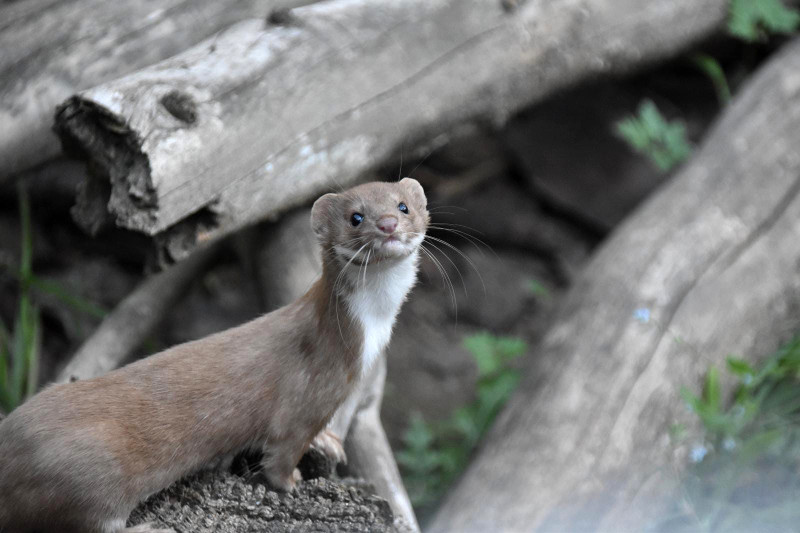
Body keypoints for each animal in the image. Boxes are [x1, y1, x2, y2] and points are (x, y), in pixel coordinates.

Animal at [0, 177, 428, 528]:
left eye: (403, 205)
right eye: (355, 217)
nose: (387, 224)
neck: (368, 336)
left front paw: (327, 442)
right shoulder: (309, 396)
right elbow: (281, 454)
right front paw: (292, 481)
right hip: (92, 475)